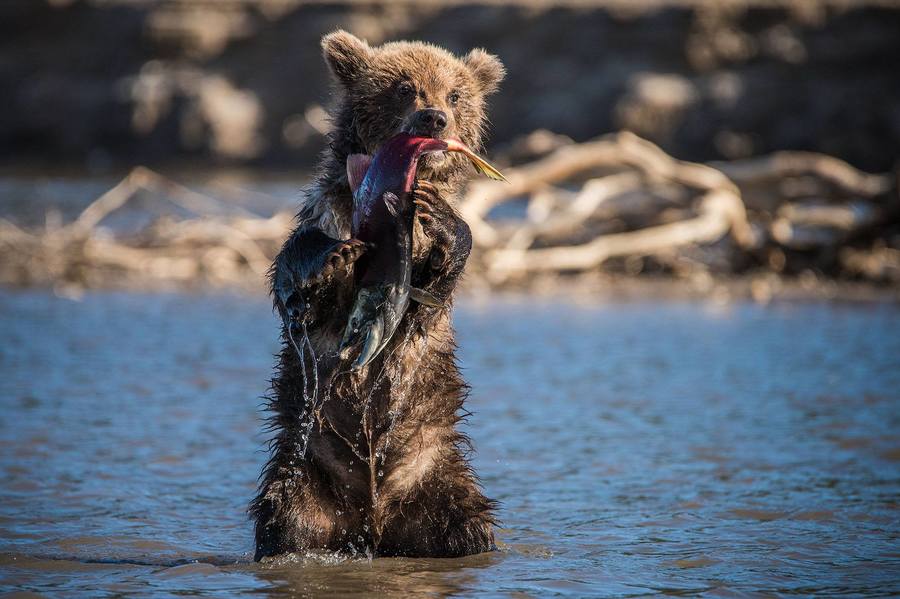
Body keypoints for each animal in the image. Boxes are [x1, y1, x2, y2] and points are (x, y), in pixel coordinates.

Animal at [251, 30, 506, 560]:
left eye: (455, 94)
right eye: (405, 88)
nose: (434, 118)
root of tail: (374, 522)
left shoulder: (419, 270)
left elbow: (434, 287)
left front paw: (443, 220)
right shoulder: (328, 214)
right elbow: (301, 280)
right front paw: (334, 260)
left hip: (440, 474)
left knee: (469, 526)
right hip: (305, 473)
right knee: (287, 521)